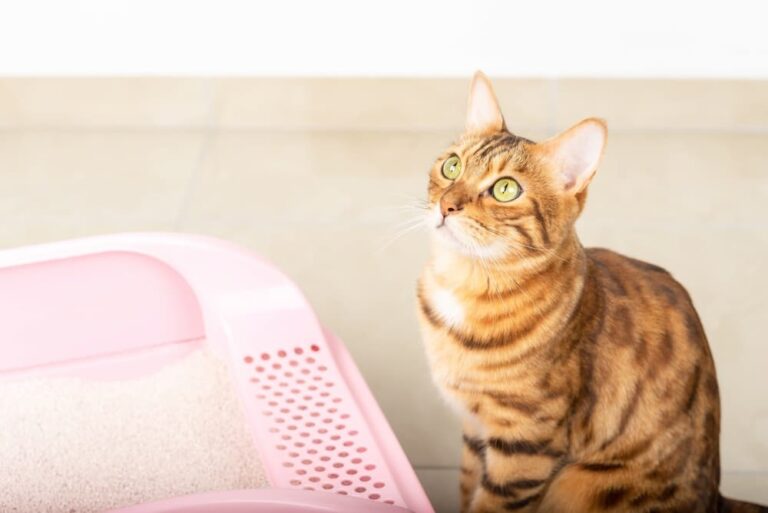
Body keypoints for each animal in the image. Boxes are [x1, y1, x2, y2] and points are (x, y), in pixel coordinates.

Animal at [416, 72, 764, 512]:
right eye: (452, 166)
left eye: (506, 189)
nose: (447, 205)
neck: (466, 282)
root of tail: (716, 499)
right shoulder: (474, 429)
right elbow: (466, 489)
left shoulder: (525, 446)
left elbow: (491, 502)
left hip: (578, 482)